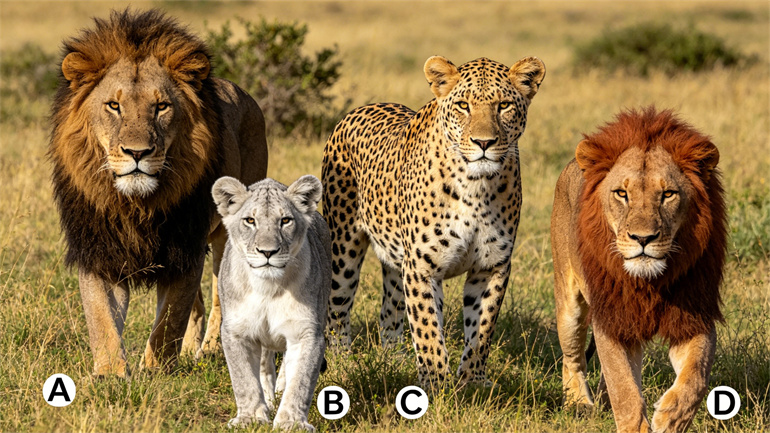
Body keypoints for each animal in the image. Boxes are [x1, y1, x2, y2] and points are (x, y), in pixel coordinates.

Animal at [49, 9, 268, 376]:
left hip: (231, 233)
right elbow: (101, 317)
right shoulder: (100, 248)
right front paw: (110, 374)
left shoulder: (185, 245)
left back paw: (212, 348)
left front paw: (156, 371)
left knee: (221, 294)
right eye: (113, 105)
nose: (137, 153)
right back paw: (193, 348)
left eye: (162, 106)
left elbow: (169, 319)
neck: (135, 204)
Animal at [551, 107, 726, 432]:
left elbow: (696, 375)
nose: (643, 239)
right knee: (573, 358)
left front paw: (671, 417)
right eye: (622, 194)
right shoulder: (610, 318)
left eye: (668, 194)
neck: (650, 283)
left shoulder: (692, 316)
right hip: (569, 304)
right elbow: (625, 391)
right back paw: (578, 404)